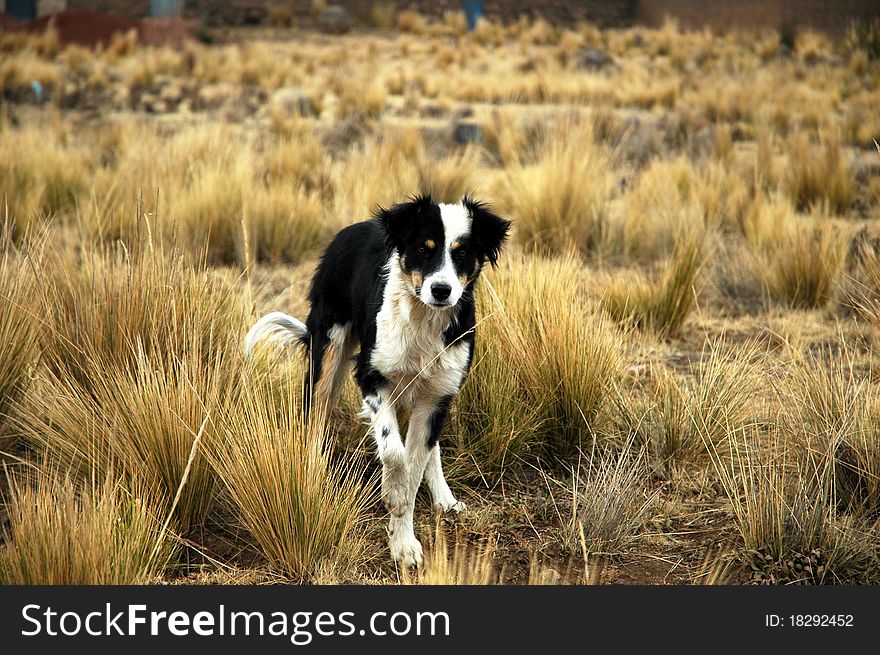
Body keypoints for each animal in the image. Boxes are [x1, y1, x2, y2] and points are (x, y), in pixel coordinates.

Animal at [244, 193, 512, 564]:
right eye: (423, 249)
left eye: (461, 253)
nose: (441, 290)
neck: (423, 319)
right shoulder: (372, 376)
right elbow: (395, 453)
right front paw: (392, 494)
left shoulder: (437, 396)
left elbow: (415, 465)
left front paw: (403, 542)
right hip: (328, 349)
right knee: (314, 416)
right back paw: (310, 475)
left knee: (431, 448)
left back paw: (444, 497)